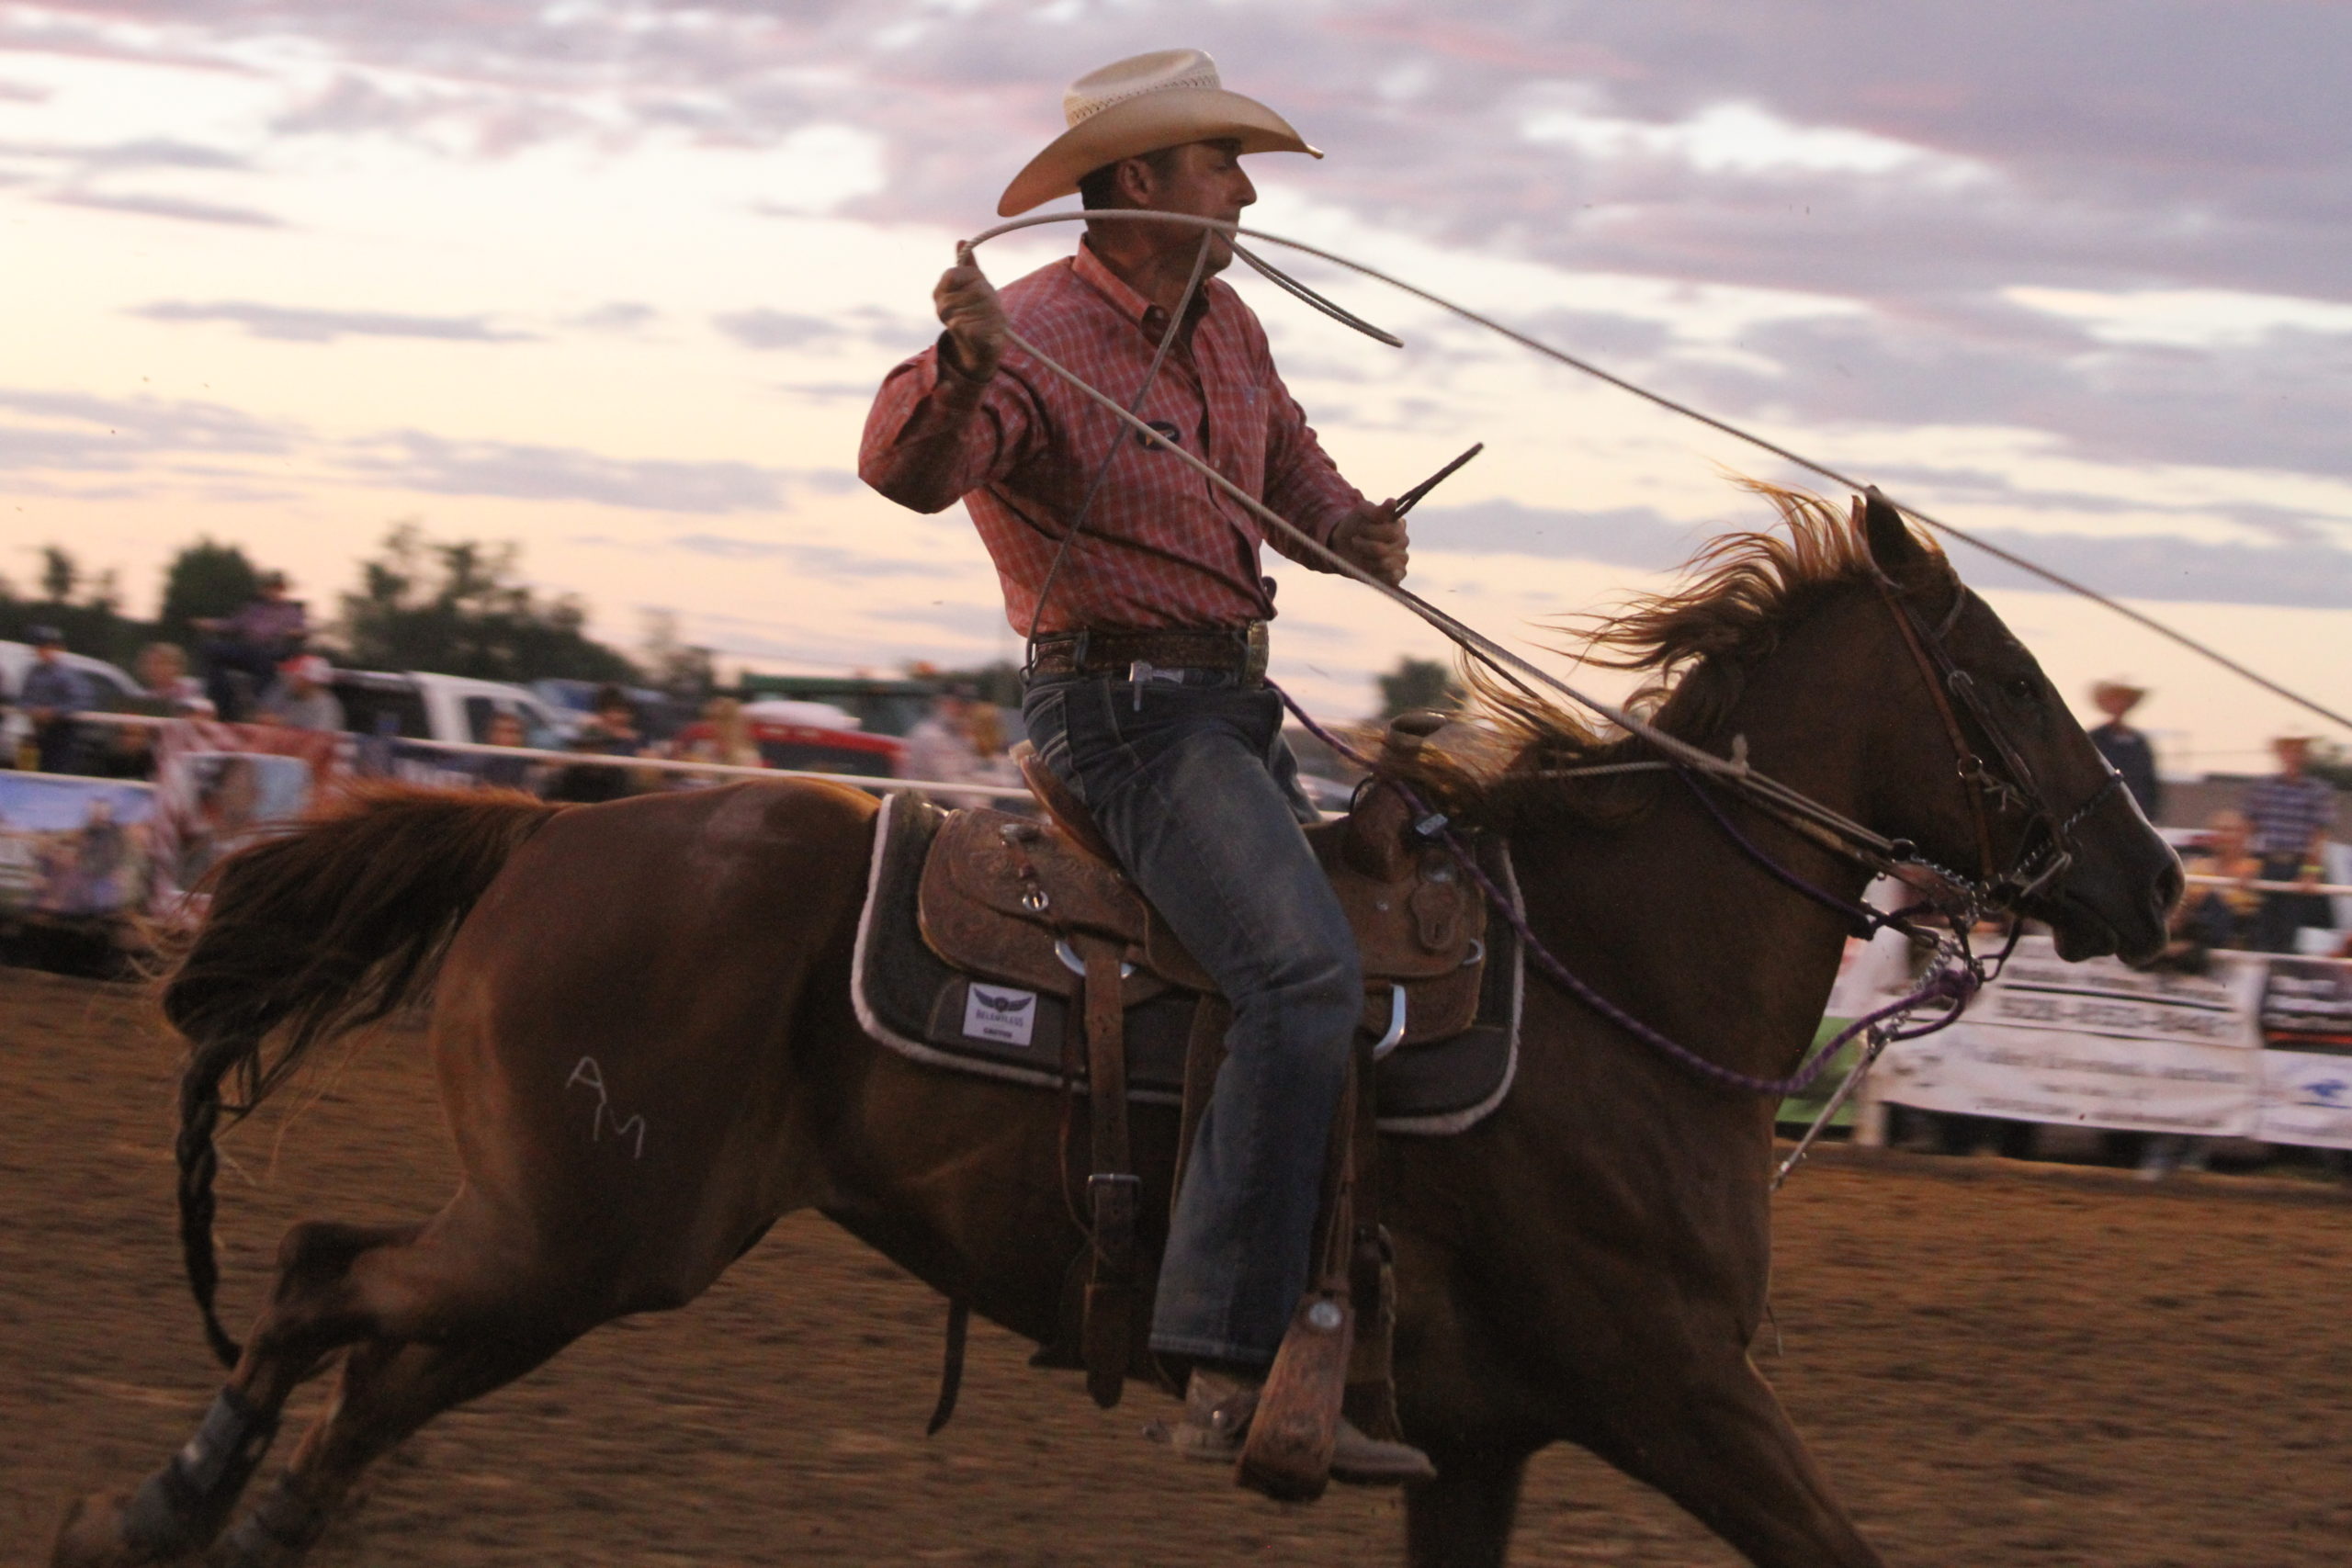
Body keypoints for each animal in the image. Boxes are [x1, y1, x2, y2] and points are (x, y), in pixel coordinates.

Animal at [55, 491, 2173, 1568]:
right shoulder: (1676, 1392)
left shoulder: (1484, 1441)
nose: (2156, 879)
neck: (1618, 982)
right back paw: (167, 1503)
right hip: (575, 1229)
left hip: (583, 1245)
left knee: (370, 1359)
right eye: (2000, 674)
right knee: (324, 1282)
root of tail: (553, 823)